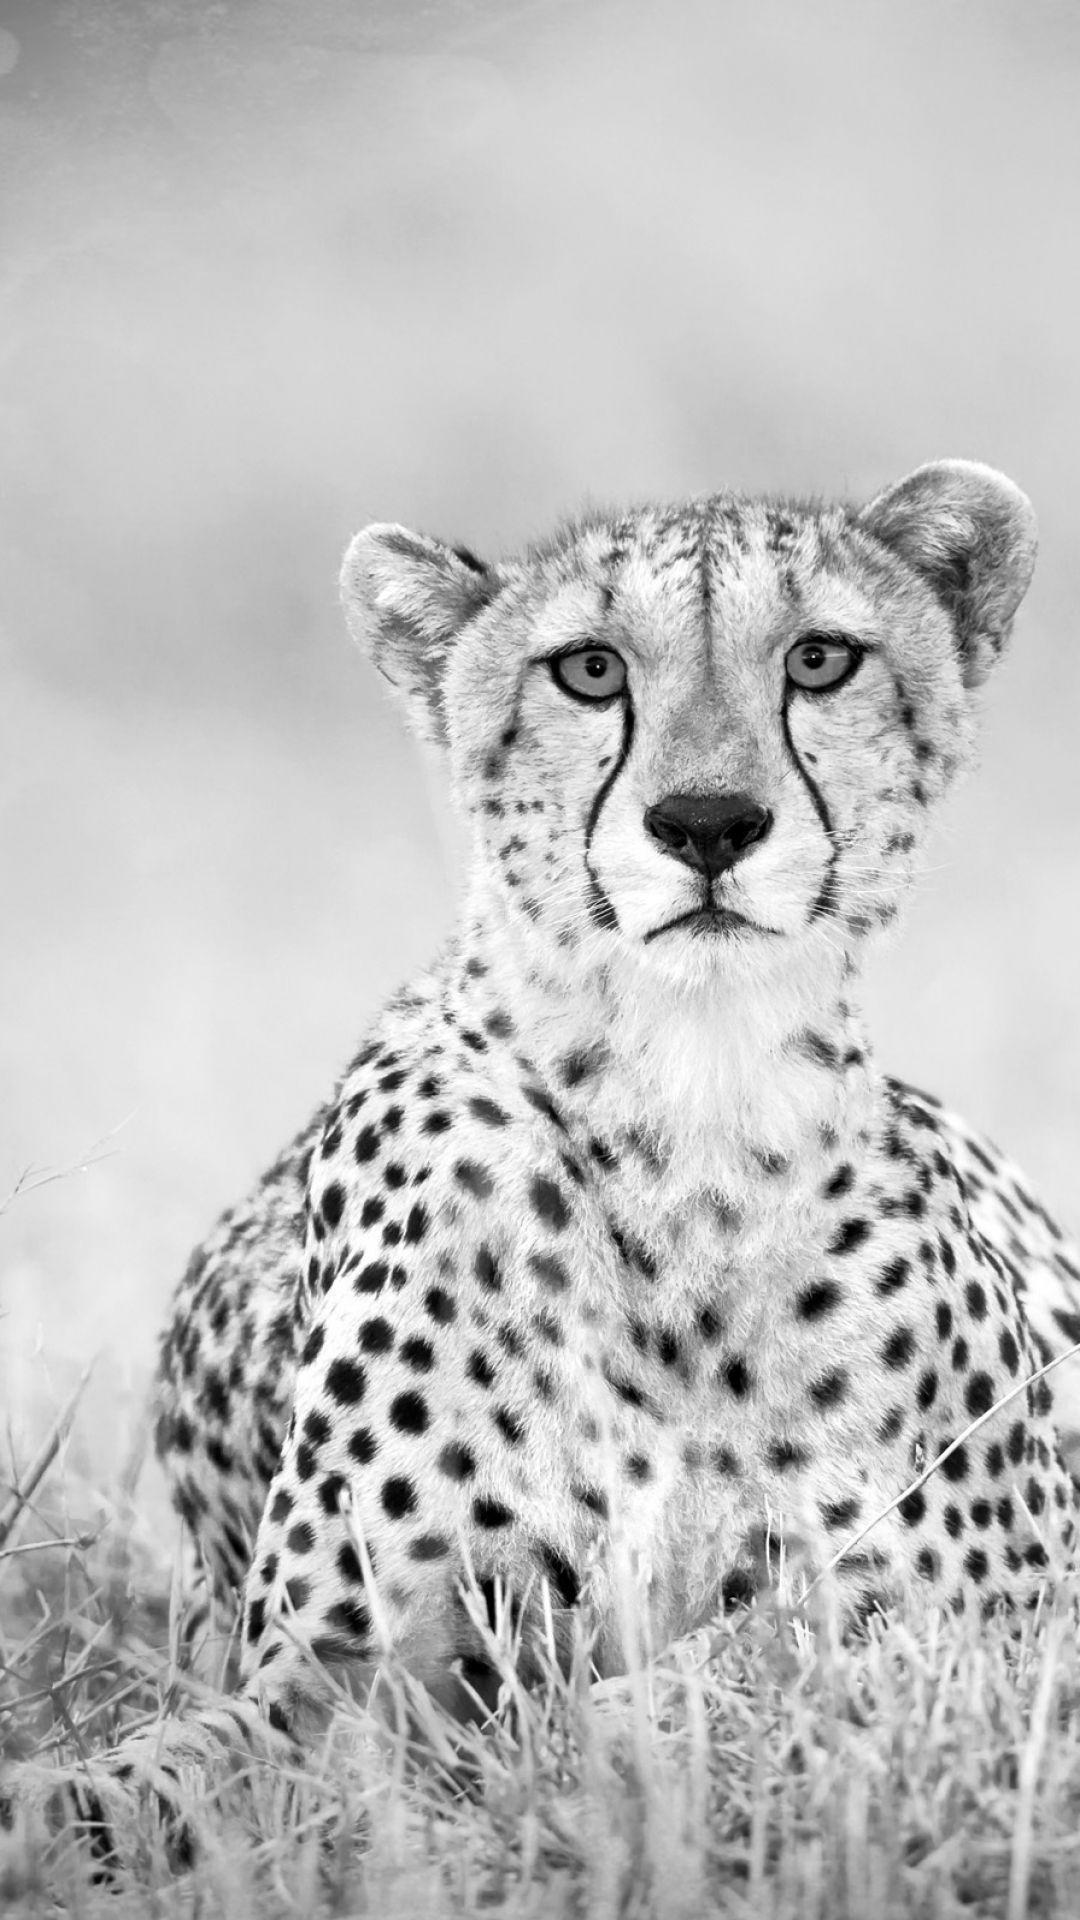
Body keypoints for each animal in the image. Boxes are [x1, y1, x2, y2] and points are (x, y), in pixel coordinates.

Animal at [8, 457, 1080, 1857]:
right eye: (589, 670)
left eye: (821, 658)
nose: (707, 822)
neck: (690, 1100)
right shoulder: (344, 1672)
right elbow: (166, 1773)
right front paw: (52, 1810)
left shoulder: (1010, 1609)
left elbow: (739, 1664)